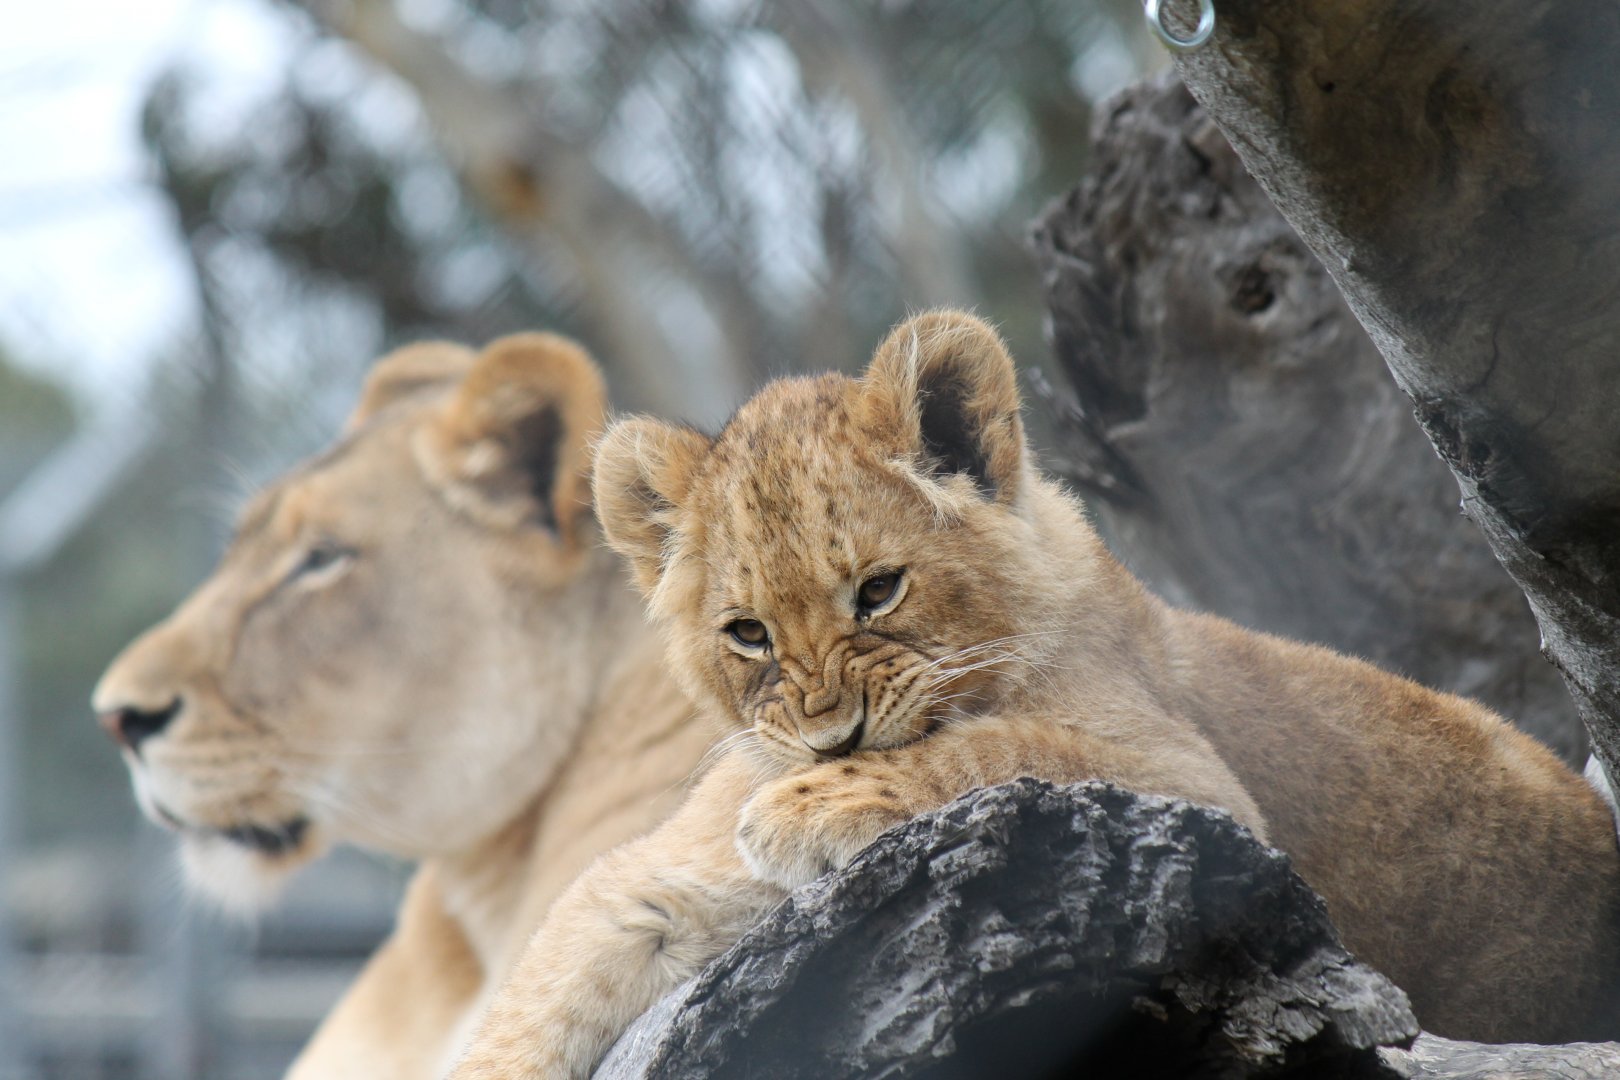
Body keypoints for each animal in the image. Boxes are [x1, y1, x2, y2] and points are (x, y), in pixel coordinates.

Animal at [451, 310, 1620, 1079]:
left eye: (879, 589)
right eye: (747, 635)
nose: (830, 740)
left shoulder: (1199, 788)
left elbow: (1007, 745)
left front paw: (819, 805)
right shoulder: (653, 879)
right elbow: (537, 991)